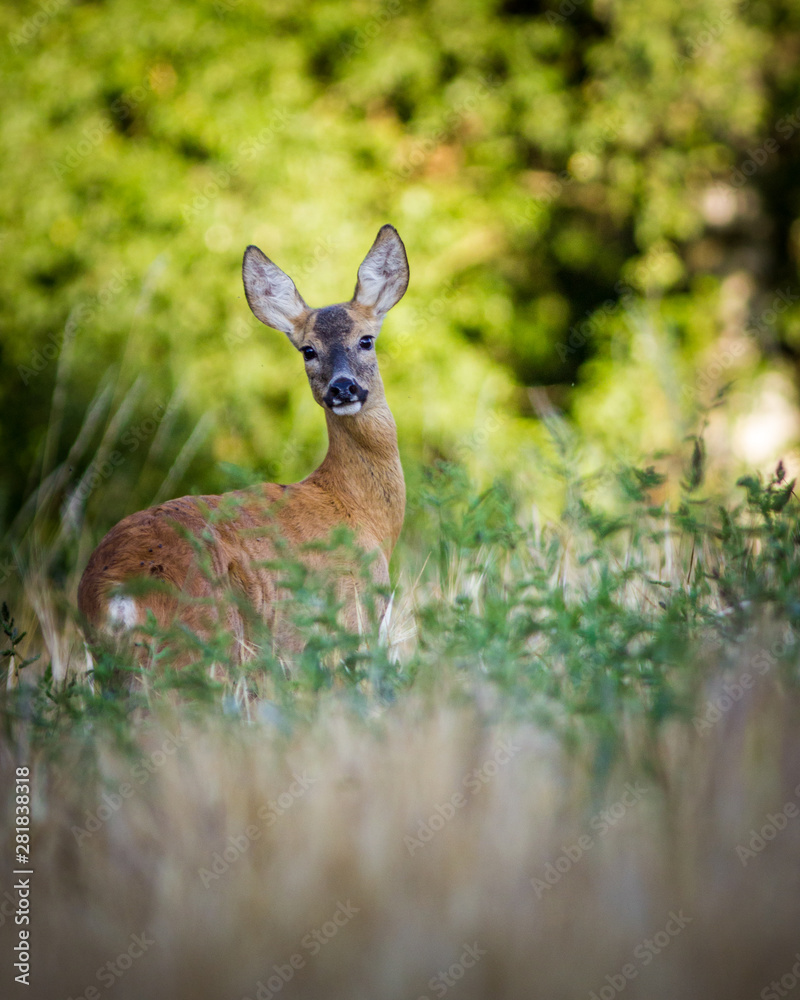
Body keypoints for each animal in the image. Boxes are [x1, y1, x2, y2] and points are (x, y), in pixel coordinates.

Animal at [78, 223, 410, 668]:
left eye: (366, 340)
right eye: (308, 350)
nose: (343, 388)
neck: (358, 509)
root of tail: (115, 593)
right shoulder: (351, 612)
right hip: (204, 639)